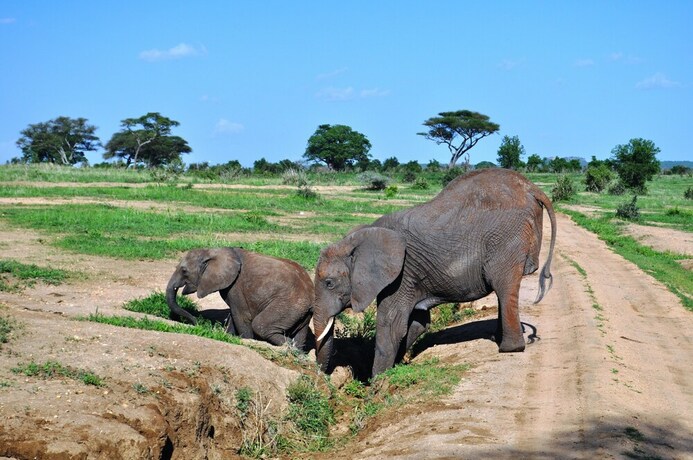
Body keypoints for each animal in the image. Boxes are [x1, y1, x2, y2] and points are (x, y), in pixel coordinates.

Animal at [166, 247, 314, 351]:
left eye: (184, 271)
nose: (197, 322)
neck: (214, 251)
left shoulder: (236, 287)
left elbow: (241, 317)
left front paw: (246, 340)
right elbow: (233, 315)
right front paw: (228, 336)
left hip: (289, 304)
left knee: (260, 325)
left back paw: (288, 346)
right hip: (301, 312)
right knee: (300, 334)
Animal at [313, 168, 557, 377]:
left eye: (329, 283)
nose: (324, 376)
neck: (357, 239)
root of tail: (531, 187)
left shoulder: (402, 272)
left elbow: (391, 324)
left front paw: (377, 382)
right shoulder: (411, 276)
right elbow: (418, 321)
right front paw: (397, 365)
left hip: (505, 238)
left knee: (503, 286)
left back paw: (509, 348)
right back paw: (498, 338)